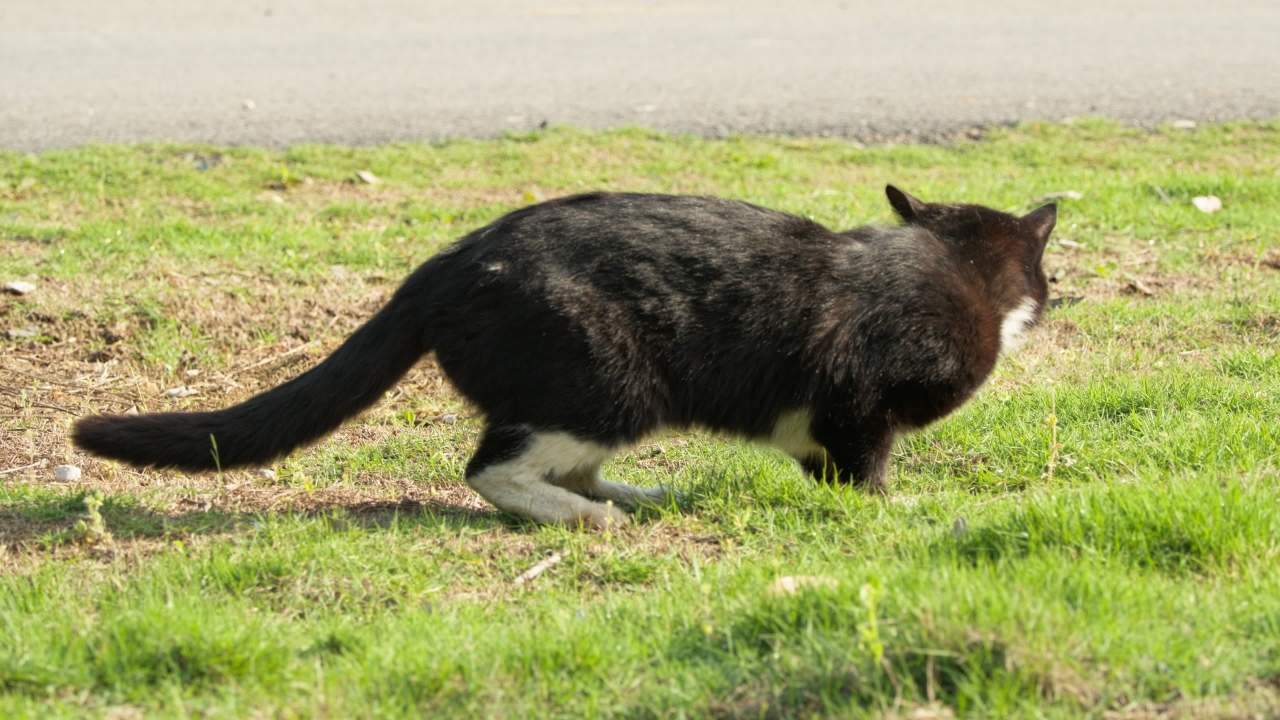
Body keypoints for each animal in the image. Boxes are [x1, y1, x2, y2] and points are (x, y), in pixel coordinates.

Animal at [72, 181, 1049, 525]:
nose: (1051, 297)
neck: (944, 260)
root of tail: (441, 266)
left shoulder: (818, 420)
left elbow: (825, 464)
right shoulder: (859, 403)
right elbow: (865, 467)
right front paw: (890, 510)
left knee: (567, 464)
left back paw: (636, 495)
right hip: (608, 383)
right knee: (492, 468)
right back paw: (588, 519)